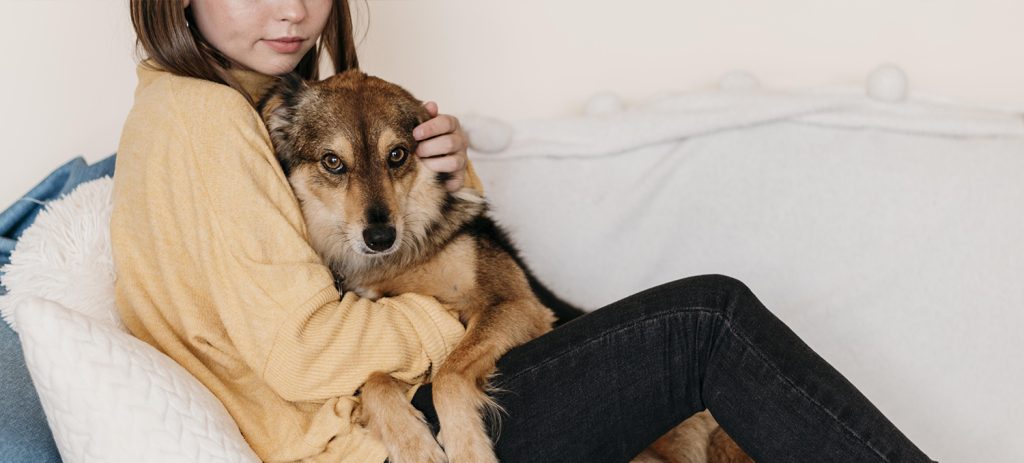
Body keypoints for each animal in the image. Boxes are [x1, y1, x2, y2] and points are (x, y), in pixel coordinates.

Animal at [256, 70, 753, 463]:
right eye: (332, 162)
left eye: (397, 155)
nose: (380, 237)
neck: (400, 259)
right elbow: (374, 377)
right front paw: (414, 446)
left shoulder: (516, 305)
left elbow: (448, 376)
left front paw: (468, 450)